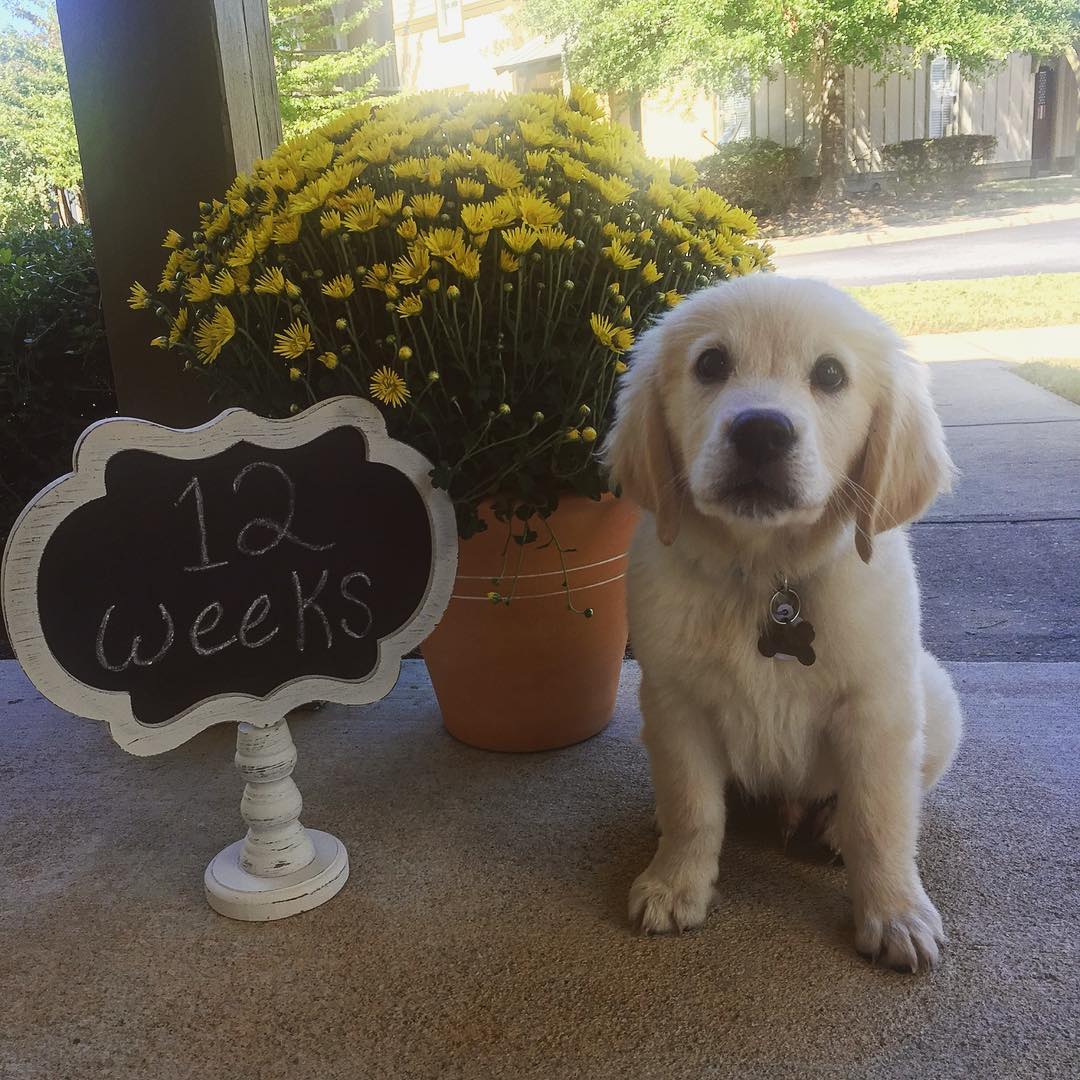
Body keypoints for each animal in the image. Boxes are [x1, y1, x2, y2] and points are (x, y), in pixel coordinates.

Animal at [609, 274, 963, 976]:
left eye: (830, 374)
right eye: (710, 364)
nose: (761, 432)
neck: (768, 578)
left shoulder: (877, 706)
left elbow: (882, 818)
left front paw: (895, 913)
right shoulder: (673, 701)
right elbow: (693, 805)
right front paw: (675, 883)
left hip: (933, 695)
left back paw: (832, 827)